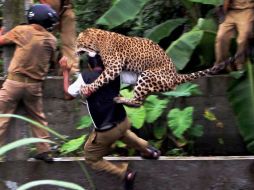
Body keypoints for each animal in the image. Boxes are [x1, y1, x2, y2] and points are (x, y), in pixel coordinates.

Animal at [76, 27, 232, 107]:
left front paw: (86, 88)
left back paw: (121, 99)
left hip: (147, 75)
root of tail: (175, 75)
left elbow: (100, 79)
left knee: (138, 102)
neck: (97, 40)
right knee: (141, 99)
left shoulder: (114, 66)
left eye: (78, 42)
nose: (74, 51)